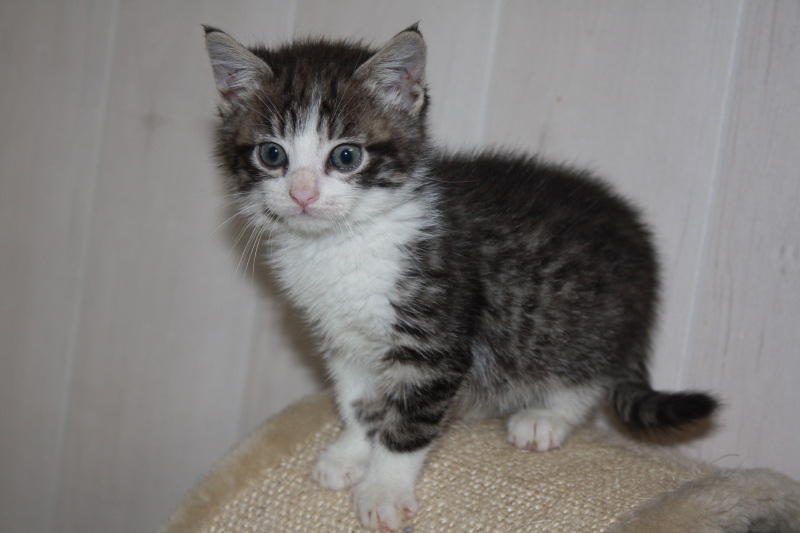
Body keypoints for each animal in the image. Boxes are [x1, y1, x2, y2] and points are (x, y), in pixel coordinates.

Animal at [203, 26, 716, 532]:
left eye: (346, 156)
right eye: (272, 154)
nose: (302, 194)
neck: (341, 245)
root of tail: (641, 248)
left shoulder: (434, 341)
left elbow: (408, 421)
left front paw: (383, 488)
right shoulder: (343, 339)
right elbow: (357, 400)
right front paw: (351, 452)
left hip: (577, 319)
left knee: (589, 370)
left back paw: (545, 416)